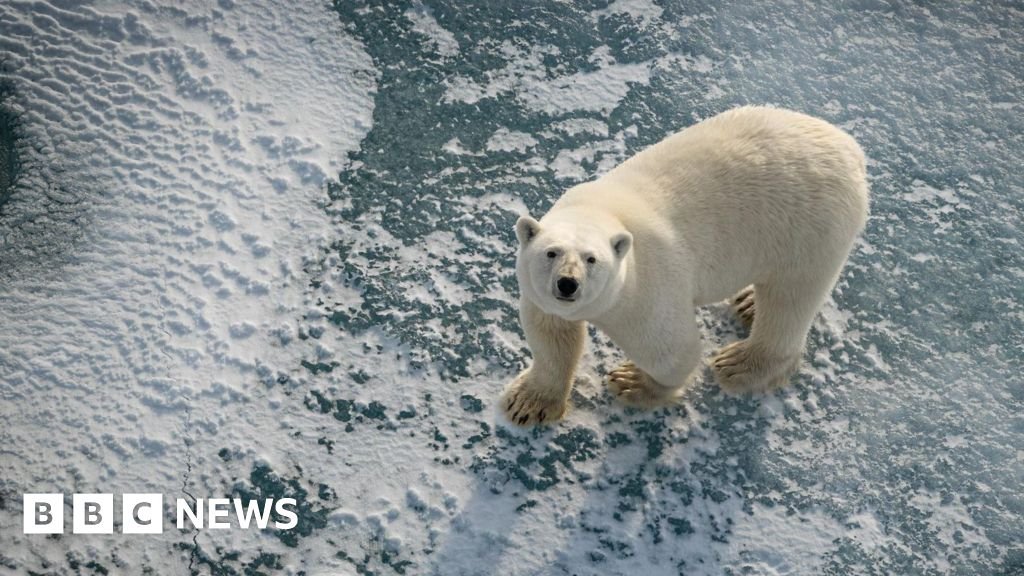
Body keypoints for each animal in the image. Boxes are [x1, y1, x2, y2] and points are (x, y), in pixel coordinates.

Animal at [502, 106, 869, 426]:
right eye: (551, 253)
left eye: (592, 259)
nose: (567, 283)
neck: (601, 211)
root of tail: (850, 147)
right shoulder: (545, 299)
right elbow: (551, 334)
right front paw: (526, 403)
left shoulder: (647, 285)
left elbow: (671, 350)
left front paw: (633, 382)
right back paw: (748, 302)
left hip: (808, 228)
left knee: (790, 299)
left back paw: (739, 364)